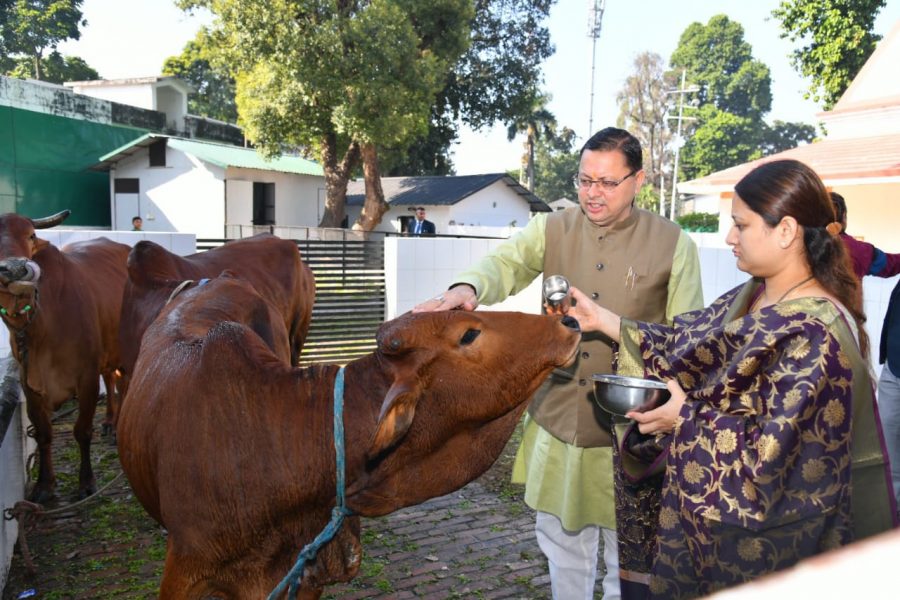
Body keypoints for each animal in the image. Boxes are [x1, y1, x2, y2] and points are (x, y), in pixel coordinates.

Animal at [0, 211, 130, 502]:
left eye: (31, 235)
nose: (13, 268)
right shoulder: (29, 384)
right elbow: (43, 433)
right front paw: (44, 485)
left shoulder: (86, 377)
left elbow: (82, 431)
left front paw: (86, 483)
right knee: (111, 379)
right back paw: (109, 422)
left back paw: (118, 427)